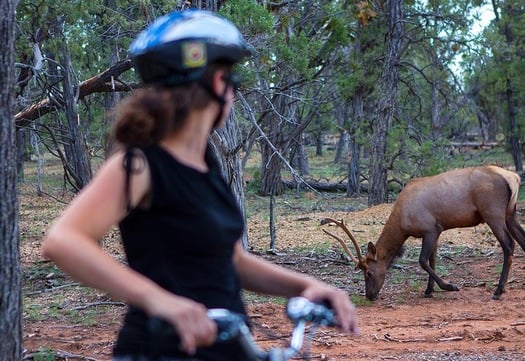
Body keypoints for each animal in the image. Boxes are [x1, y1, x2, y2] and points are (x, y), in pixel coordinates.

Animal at [322, 165, 524, 300]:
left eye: (369, 273)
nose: (369, 296)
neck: (402, 223)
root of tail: (513, 177)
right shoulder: (436, 232)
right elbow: (432, 260)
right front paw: (429, 290)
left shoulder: (431, 229)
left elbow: (423, 260)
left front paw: (449, 286)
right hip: (510, 213)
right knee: (521, 241)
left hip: (493, 213)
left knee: (509, 245)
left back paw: (498, 291)